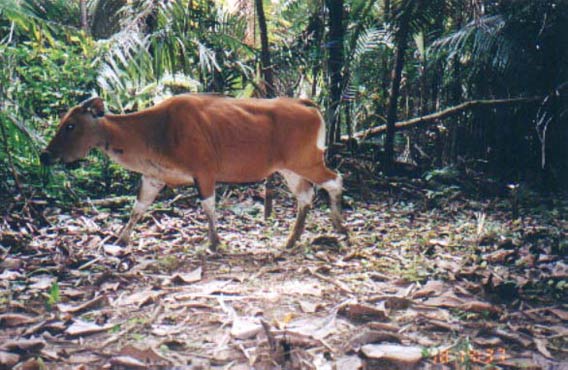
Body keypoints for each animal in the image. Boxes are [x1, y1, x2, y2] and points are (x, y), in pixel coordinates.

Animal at [41, 95, 346, 250]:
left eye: (70, 125)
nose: (45, 155)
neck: (155, 131)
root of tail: (306, 103)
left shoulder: (204, 171)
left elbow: (208, 206)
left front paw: (214, 242)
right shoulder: (153, 177)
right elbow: (138, 208)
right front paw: (121, 239)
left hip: (307, 160)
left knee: (335, 180)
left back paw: (339, 226)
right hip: (288, 168)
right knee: (306, 195)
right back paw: (292, 239)